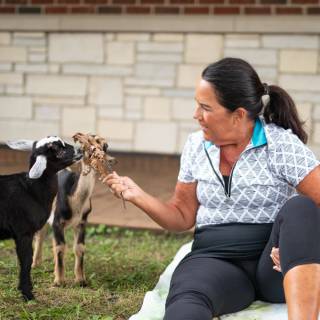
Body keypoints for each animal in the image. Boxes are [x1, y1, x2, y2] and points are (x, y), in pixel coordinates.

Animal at [0, 137, 82, 300]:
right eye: (59, 150)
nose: (81, 150)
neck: (30, 189)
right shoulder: (23, 232)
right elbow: (26, 261)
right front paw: (27, 294)